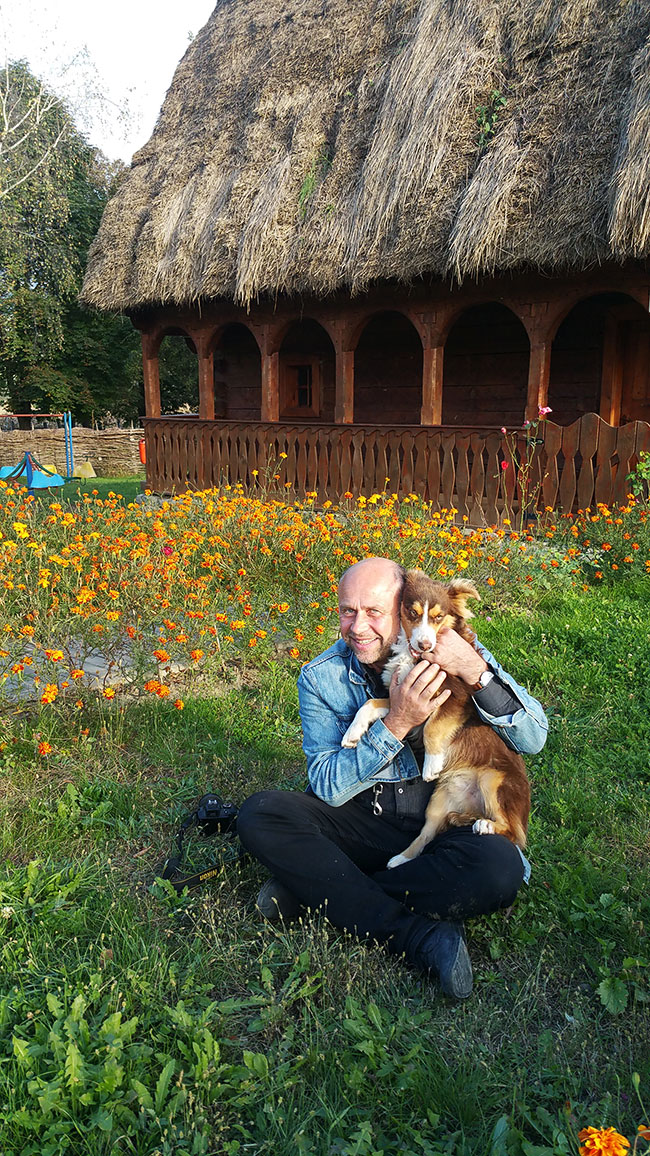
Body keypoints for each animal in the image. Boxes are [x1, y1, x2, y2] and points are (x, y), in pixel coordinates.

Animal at [340, 568, 527, 869]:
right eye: (412, 613)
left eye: (439, 617)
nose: (424, 644)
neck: (417, 656)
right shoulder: (405, 698)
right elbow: (369, 705)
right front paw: (352, 734)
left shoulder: (456, 697)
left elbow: (433, 728)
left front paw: (431, 764)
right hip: (439, 800)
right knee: (426, 834)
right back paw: (401, 859)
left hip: (494, 780)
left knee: (513, 834)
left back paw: (486, 826)